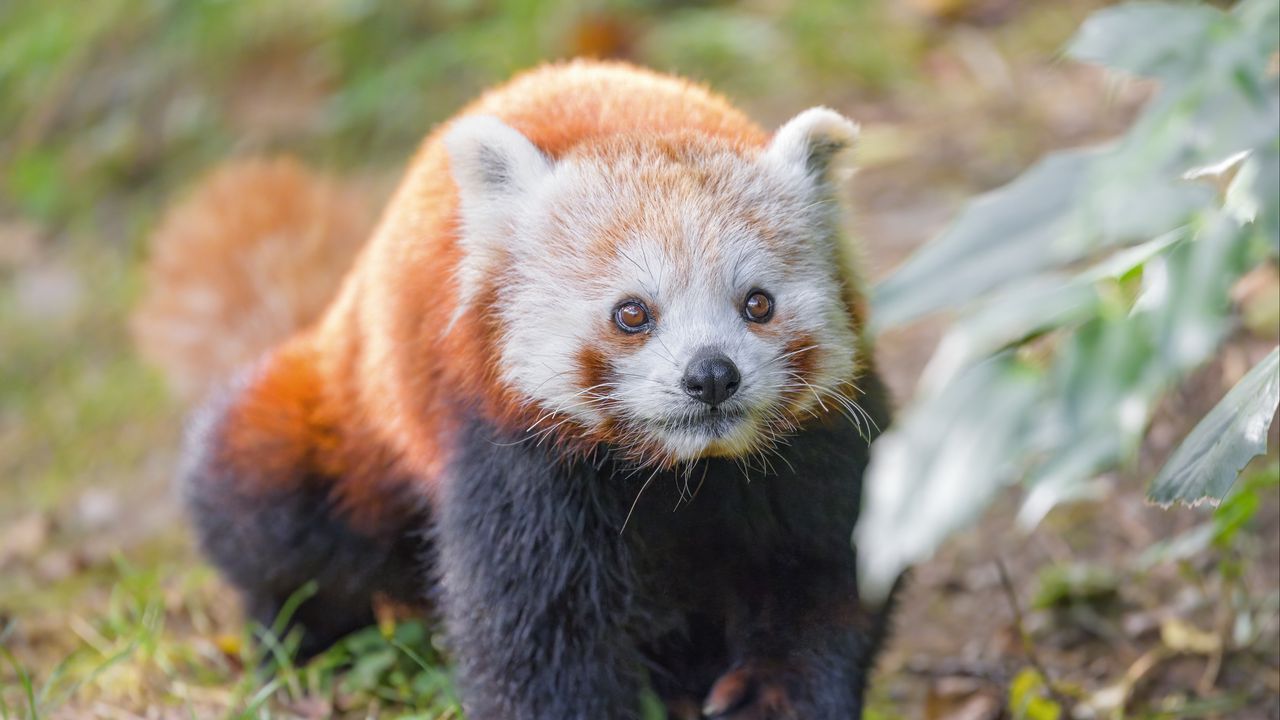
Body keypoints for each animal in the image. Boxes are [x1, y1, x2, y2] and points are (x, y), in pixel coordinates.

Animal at [140, 58, 896, 712]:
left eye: (757, 304)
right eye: (632, 313)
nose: (711, 375)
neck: (682, 474)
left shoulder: (819, 444)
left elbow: (826, 571)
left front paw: (778, 694)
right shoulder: (512, 452)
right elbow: (535, 635)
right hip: (338, 433)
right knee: (269, 519)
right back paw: (294, 644)